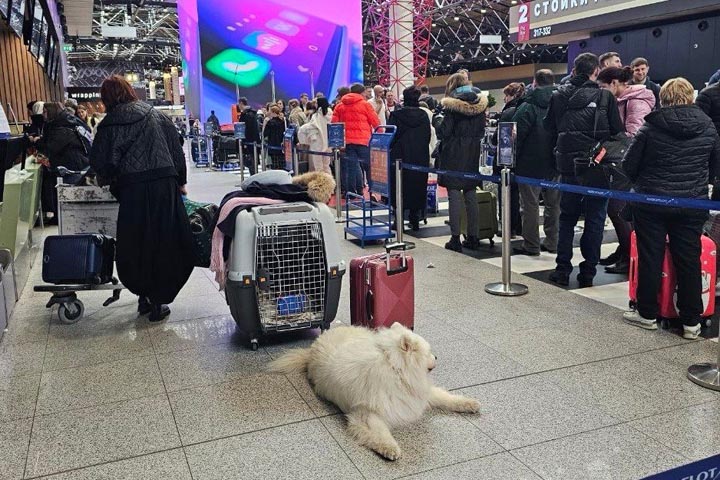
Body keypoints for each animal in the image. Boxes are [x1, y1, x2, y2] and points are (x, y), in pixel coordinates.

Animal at [268, 322, 480, 462]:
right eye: (428, 352)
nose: (436, 357)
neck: (396, 370)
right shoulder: (367, 414)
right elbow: (380, 433)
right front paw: (390, 449)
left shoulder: (419, 394)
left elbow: (447, 397)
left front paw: (469, 404)